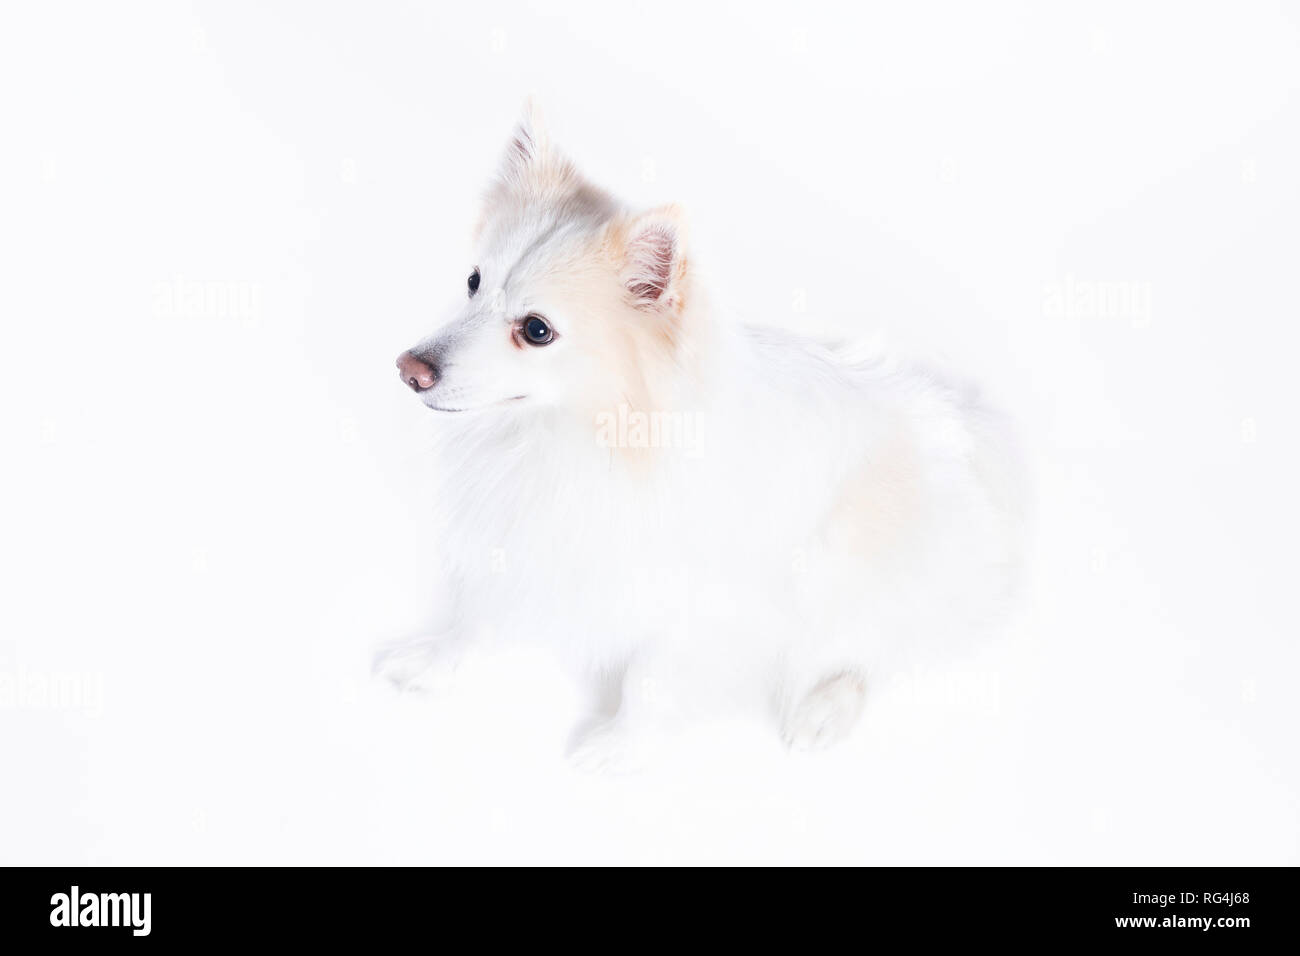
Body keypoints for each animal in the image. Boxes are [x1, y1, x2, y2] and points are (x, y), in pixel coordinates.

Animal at [377, 106, 1024, 770]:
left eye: (536, 330)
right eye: (473, 281)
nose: (409, 369)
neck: (579, 437)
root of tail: (969, 426)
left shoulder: (706, 607)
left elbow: (648, 680)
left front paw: (617, 747)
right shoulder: (519, 544)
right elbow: (477, 618)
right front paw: (435, 663)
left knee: (876, 656)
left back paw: (824, 710)